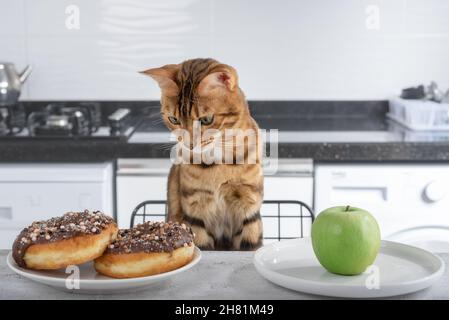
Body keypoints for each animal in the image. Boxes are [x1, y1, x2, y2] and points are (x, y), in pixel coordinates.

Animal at [142, 59, 262, 250]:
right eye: (173, 119)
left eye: (206, 120)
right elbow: (202, 242)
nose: (190, 144)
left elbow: (249, 242)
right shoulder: (195, 207)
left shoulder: (249, 202)